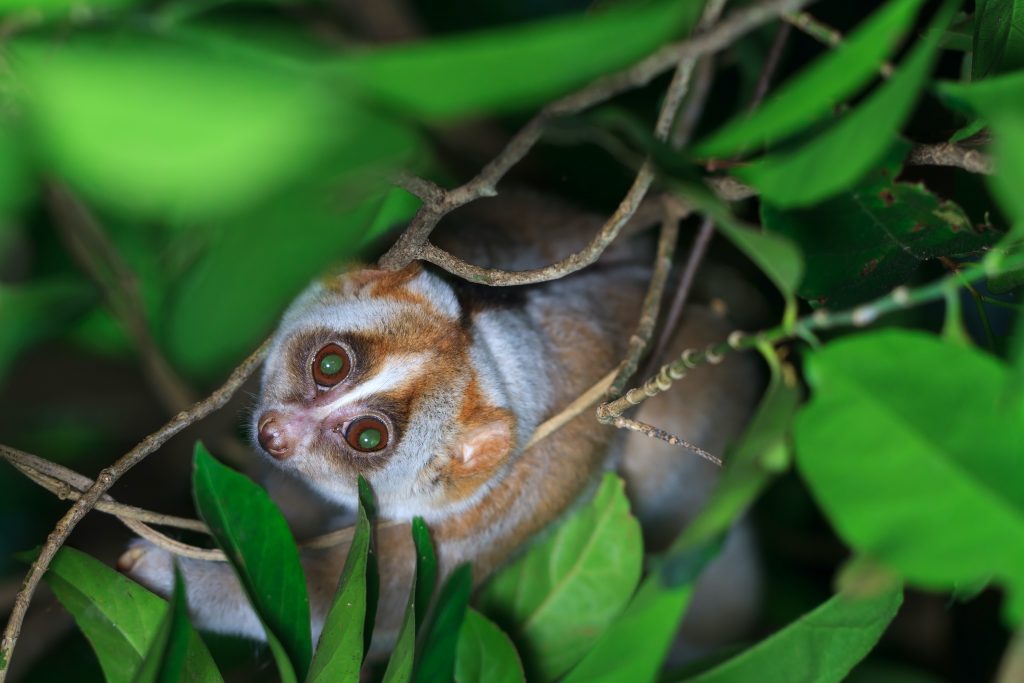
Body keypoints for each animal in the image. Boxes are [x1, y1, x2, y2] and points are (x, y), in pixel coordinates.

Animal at [118, 188, 762, 656]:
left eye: (367, 437)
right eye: (329, 364)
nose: (276, 433)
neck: (496, 356)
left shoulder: (476, 517)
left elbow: (357, 606)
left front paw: (164, 566)